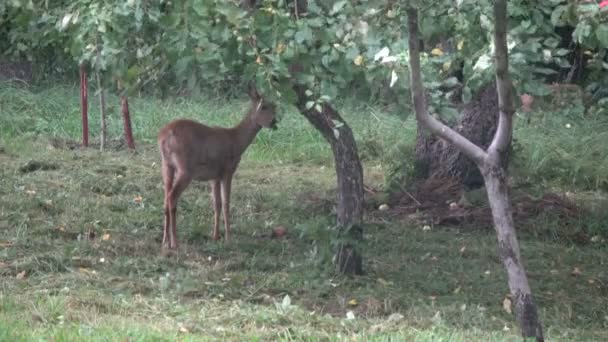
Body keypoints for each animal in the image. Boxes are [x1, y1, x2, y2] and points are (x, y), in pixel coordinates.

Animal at [159, 87, 278, 250]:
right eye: (265, 106)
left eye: (273, 106)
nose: (275, 122)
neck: (237, 141)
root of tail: (164, 136)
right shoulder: (228, 171)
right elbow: (226, 203)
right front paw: (228, 237)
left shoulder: (214, 176)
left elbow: (217, 204)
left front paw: (215, 236)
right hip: (185, 168)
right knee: (172, 197)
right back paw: (174, 242)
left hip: (166, 165)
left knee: (165, 198)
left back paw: (164, 241)